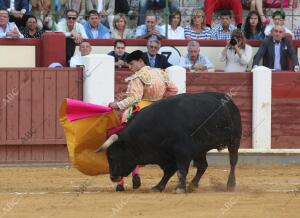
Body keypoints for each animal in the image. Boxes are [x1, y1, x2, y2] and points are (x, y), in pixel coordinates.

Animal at [97, 92, 243, 192]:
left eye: (113, 156)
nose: (113, 177)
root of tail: (229, 101)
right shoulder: (168, 153)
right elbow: (169, 171)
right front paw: (158, 187)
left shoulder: (182, 151)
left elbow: (181, 170)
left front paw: (180, 188)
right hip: (201, 149)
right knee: (202, 166)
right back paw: (193, 184)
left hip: (234, 140)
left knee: (233, 161)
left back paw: (231, 184)